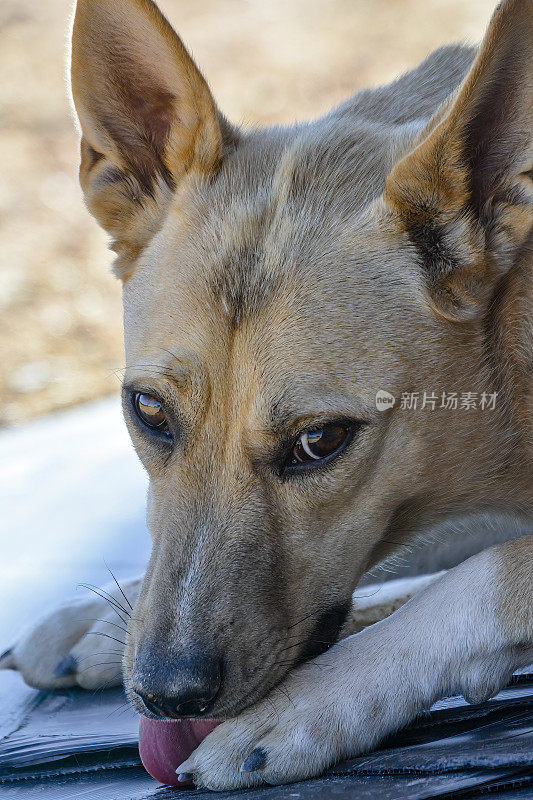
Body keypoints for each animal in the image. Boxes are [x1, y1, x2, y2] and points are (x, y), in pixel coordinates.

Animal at [2, 0, 528, 792]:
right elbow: (447, 541)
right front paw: (98, 622)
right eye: (148, 412)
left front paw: (312, 705)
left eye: (321, 440)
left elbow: (486, 573)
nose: (167, 694)